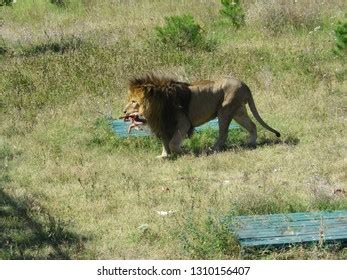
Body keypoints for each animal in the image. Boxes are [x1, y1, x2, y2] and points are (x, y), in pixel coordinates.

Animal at [123, 73, 282, 158]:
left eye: (133, 101)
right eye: (129, 100)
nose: (124, 112)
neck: (156, 108)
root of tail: (244, 84)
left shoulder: (183, 124)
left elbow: (173, 143)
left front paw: (185, 152)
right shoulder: (163, 126)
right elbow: (165, 144)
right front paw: (163, 156)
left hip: (225, 110)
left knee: (224, 133)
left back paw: (213, 149)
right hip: (238, 112)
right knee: (253, 125)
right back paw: (251, 143)